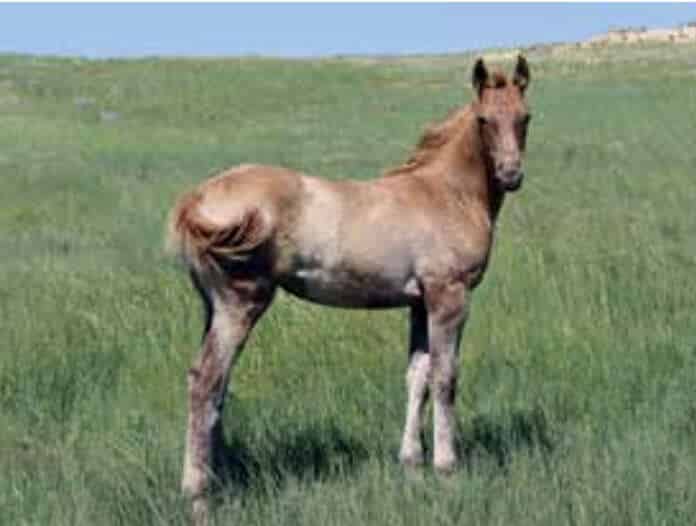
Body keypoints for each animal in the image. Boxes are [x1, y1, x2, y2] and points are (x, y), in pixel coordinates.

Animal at [167, 56, 532, 523]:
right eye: (485, 120)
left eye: (524, 117)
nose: (510, 174)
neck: (447, 192)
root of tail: (196, 199)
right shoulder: (448, 296)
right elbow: (445, 377)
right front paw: (447, 470)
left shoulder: (418, 302)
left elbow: (417, 375)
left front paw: (412, 466)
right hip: (240, 304)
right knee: (205, 381)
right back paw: (199, 498)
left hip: (211, 307)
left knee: (216, 387)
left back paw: (221, 481)